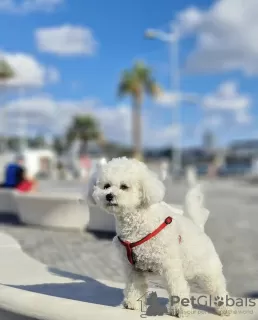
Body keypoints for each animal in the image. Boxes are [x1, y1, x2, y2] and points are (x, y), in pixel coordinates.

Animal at [87, 156, 231, 316]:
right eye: (106, 186)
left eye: (124, 186)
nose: (109, 196)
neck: (138, 223)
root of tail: (197, 225)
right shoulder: (133, 269)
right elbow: (134, 286)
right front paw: (132, 304)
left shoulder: (170, 266)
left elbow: (177, 287)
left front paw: (181, 310)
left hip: (208, 270)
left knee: (218, 287)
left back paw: (225, 308)